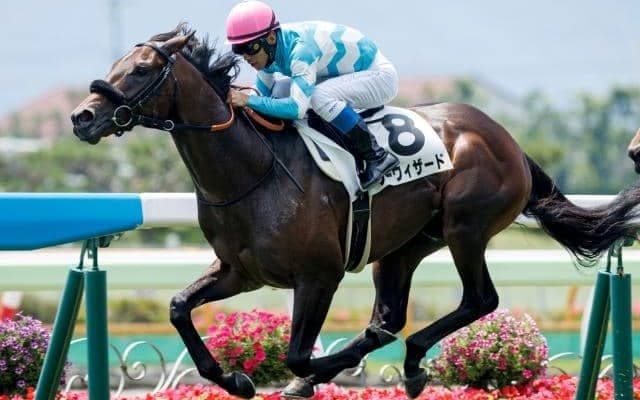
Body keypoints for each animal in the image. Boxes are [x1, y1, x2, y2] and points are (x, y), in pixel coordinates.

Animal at [70, 24, 640, 399]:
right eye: (114, 67)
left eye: (141, 69)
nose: (82, 117)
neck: (255, 171)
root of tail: (510, 142)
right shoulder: (241, 272)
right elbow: (177, 308)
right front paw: (235, 378)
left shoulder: (318, 275)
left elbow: (298, 352)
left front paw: (309, 374)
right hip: (408, 245)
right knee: (389, 319)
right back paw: (408, 367)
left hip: (466, 227)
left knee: (479, 299)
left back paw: (395, 365)